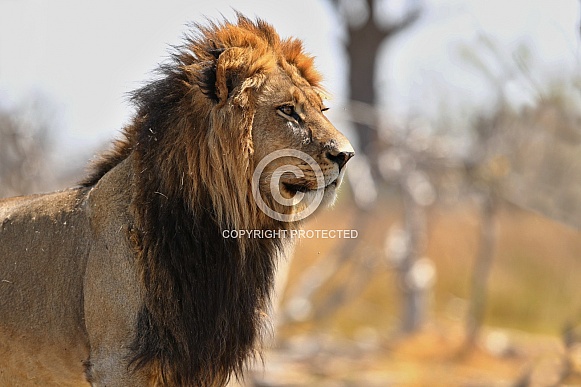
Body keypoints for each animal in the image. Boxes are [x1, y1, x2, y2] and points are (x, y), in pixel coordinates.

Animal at [0, 13, 354, 386]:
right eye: (287, 110)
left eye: (322, 108)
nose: (347, 155)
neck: (218, 237)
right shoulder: (116, 362)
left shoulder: (202, 362)